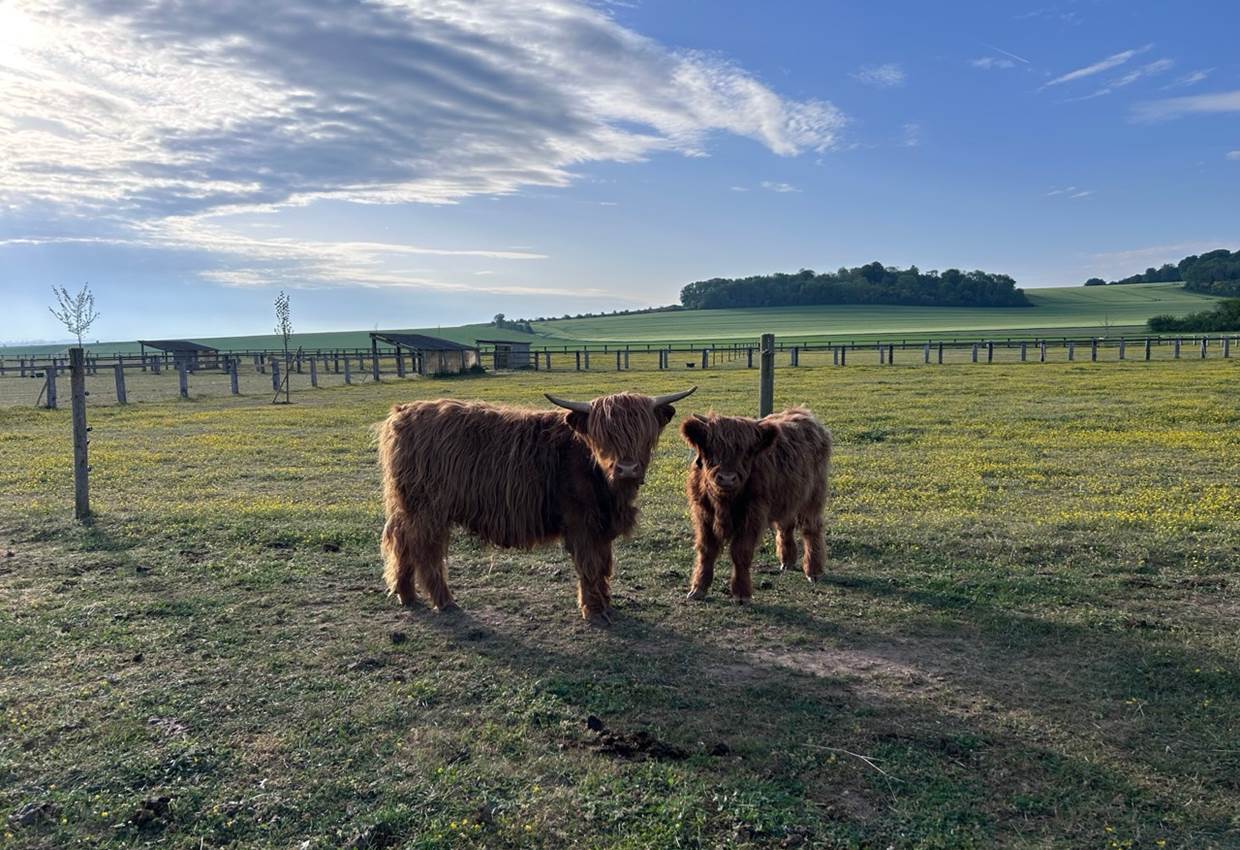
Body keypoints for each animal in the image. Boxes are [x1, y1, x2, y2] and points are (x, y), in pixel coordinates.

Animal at [378, 388, 696, 625]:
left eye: (644, 434)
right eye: (605, 436)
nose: (627, 469)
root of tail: (402, 413)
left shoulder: (601, 525)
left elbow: (604, 564)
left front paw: (605, 603)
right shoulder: (582, 522)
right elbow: (590, 565)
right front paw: (594, 611)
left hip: (408, 506)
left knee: (402, 543)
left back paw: (406, 594)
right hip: (427, 511)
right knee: (425, 552)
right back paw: (444, 602)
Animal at [680, 408, 832, 603]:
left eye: (745, 452)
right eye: (712, 448)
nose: (727, 478)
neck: (723, 502)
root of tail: (803, 412)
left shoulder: (752, 515)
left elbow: (741, 553)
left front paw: (741, 593)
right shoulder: (704, 514)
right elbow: (706, 551)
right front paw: (698, 588)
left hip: (813, 497)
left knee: (811, 530)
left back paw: (813, 571)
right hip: (787, 497)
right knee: (786, 526)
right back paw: (787, 561)